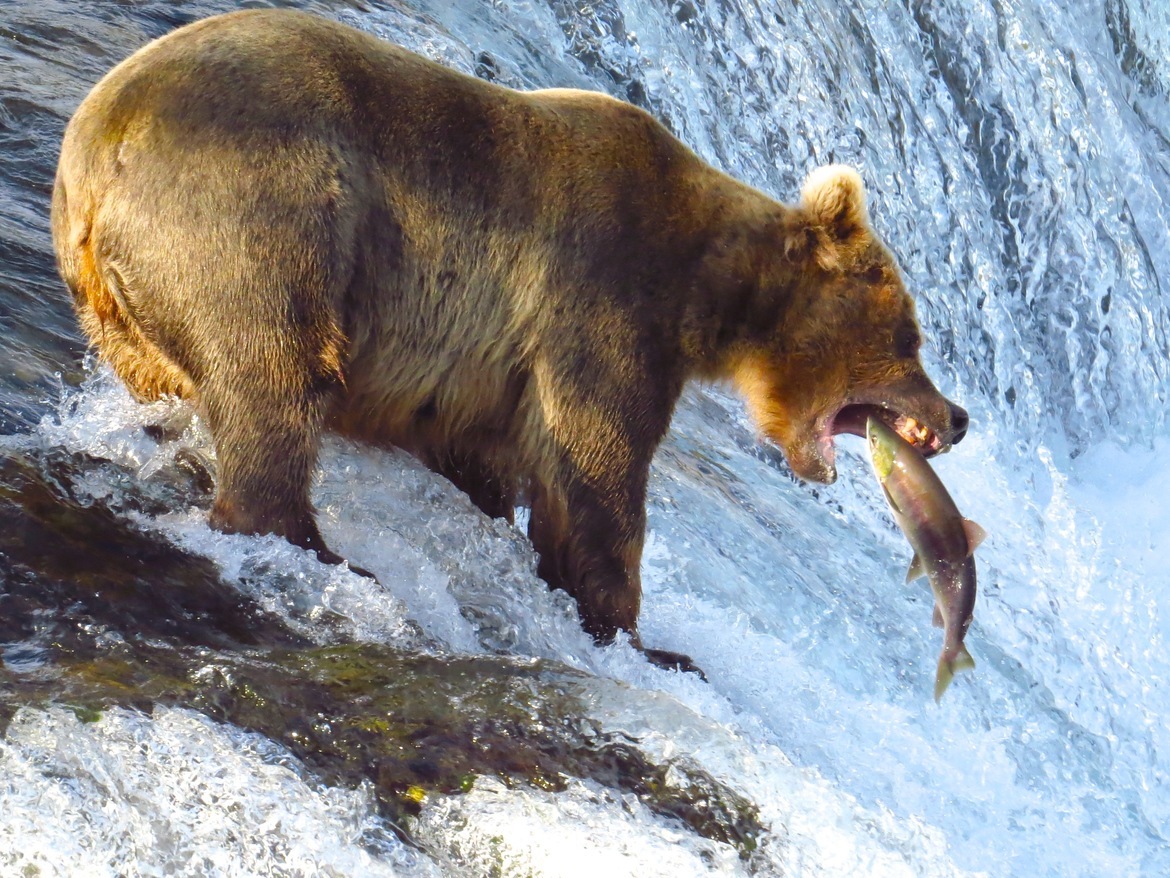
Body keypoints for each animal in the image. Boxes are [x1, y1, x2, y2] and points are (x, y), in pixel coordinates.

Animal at [51, 9, 967, 672]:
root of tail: (98, 151)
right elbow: (594, 472)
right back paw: (320, 550)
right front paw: (646, 641)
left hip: (125, 309)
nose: (954, 417)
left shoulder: (481, 375)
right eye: (911, 334)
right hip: (256, 214)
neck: (707, 291)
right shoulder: (602, 296)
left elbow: (488, 460)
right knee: (274, 378)